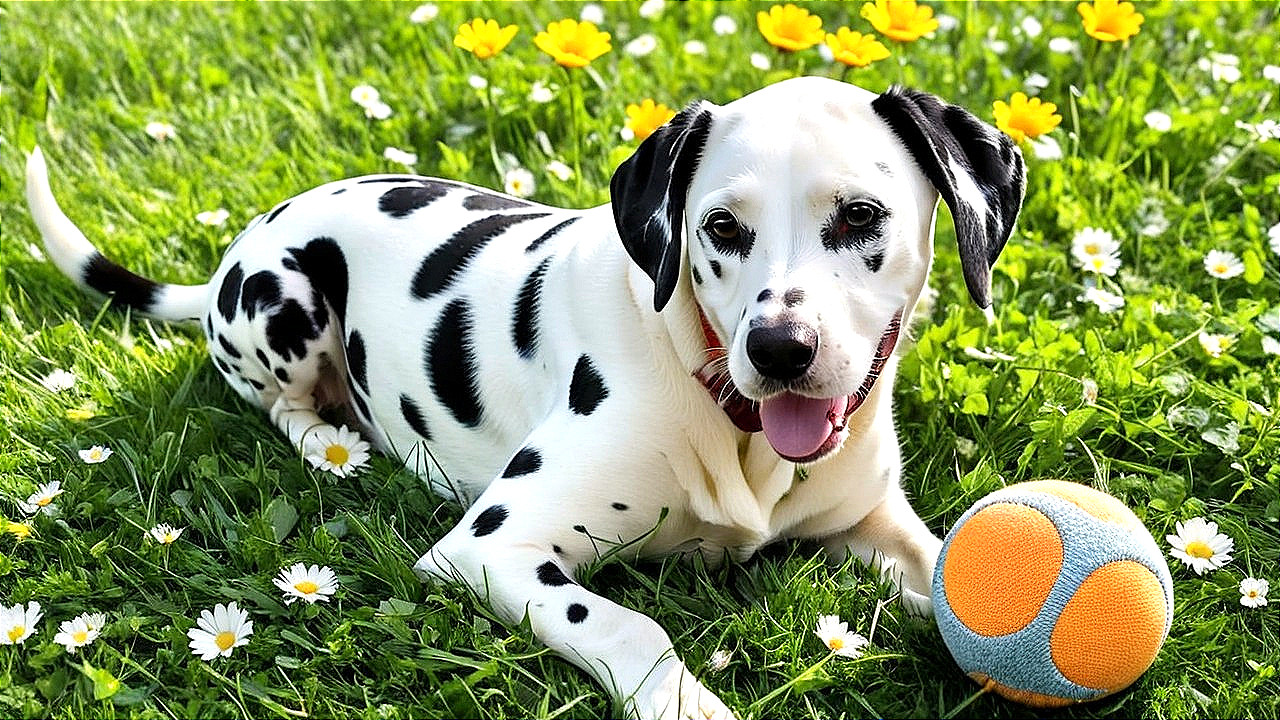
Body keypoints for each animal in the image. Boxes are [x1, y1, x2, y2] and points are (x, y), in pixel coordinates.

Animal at [27, 78, 1018, 717]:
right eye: (721, 227)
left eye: (859, 215)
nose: (778, 349)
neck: (724, 410)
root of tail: (240, 245)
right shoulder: (492, 548)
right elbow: (631, 628)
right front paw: (688, 702)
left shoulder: (877, 525)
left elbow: (953, 568)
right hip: (286, 299)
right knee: (283, 409)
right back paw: (333, 446)